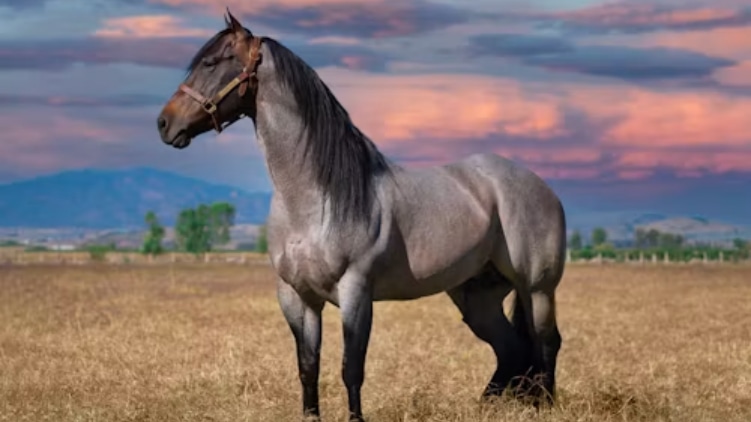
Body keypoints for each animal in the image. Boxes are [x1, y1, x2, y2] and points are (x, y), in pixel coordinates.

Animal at [156, 10, 566, 422]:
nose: (164, 124)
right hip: (476, 296)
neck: (314, 200)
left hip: (537, 289)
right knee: (510, 349)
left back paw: (545, 404)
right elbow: (308, 367)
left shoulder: (355, 291)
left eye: (212, 63)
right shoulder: (297, 296)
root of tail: (539, 186)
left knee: (545, 342)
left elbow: (351, 367)